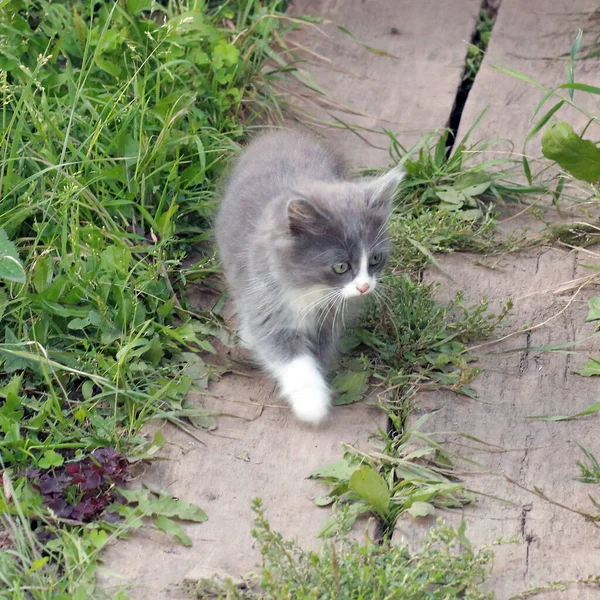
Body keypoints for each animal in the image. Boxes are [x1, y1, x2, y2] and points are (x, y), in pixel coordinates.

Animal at [216, 129, 404, 424]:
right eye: (341, 267)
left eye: (375, 260)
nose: (364, 287)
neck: (310, 288)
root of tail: (281, 133)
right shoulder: (265, 298)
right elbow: (290, 356)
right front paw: (311, 402)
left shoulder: (331, 316)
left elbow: (320, 350)